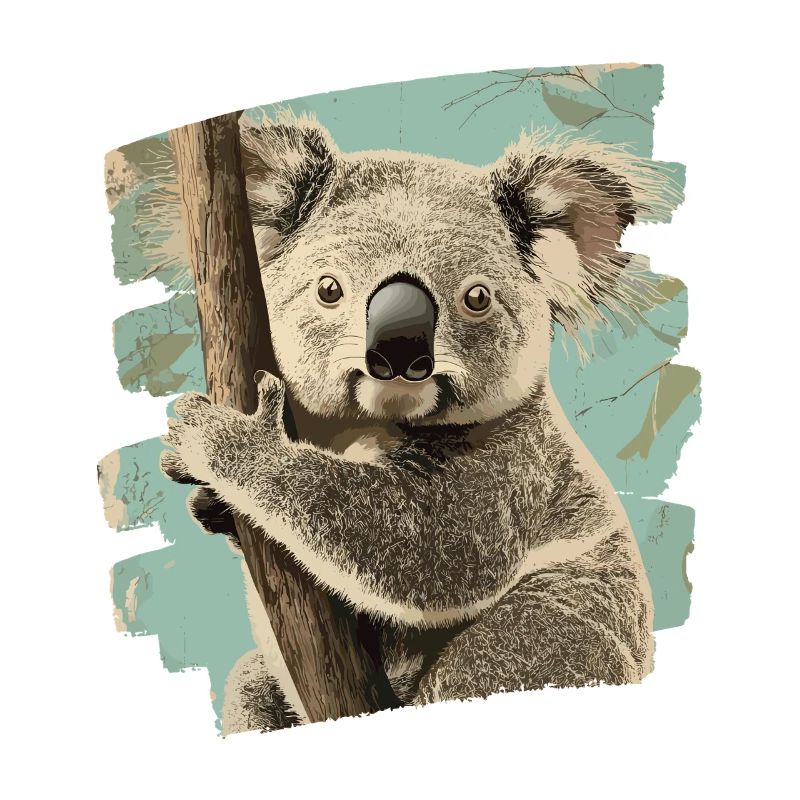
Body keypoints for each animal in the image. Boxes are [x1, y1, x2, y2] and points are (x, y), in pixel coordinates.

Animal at [159, 114, 681, 732]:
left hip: (551, 640)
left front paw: (227, 439)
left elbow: (427, 548)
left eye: (477, 297)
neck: (364, 427)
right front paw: (202, 494)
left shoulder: (513, 468)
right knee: (250, 683)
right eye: (329, 289)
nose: (398, 350)